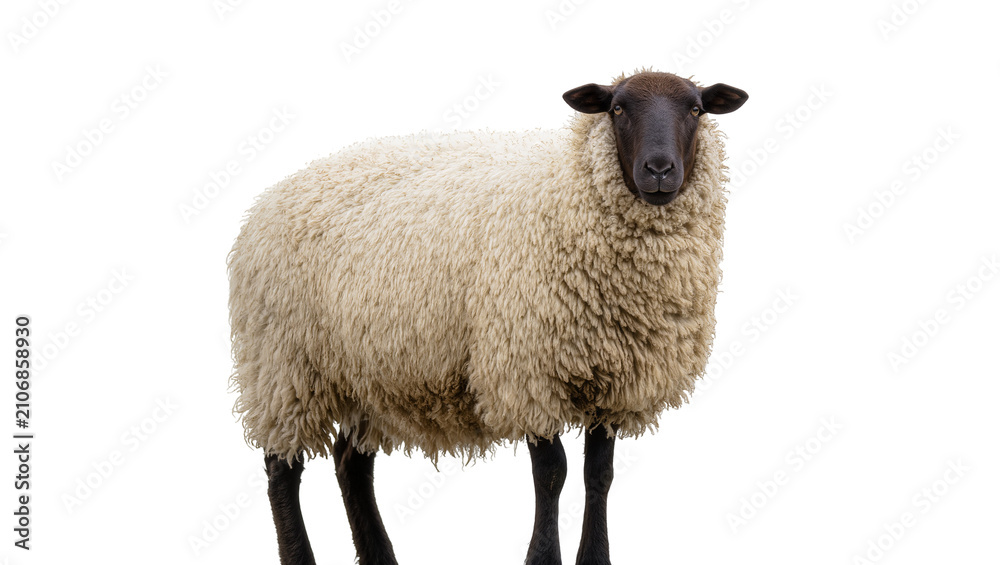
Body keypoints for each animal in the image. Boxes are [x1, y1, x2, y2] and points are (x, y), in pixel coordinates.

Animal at [228, 70, 747, 565]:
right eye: (617, 108)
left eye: (696, 109)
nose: (658, 170)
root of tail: (267, 199)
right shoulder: (527, 372)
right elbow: (552, 474)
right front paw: (542, 558)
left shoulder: (617, 384)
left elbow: (599, 474)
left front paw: (594, 558)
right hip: (282, 363)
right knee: (282, 468)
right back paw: (300, 554)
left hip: (363, 370)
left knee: (350, 464)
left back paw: (380, 557)